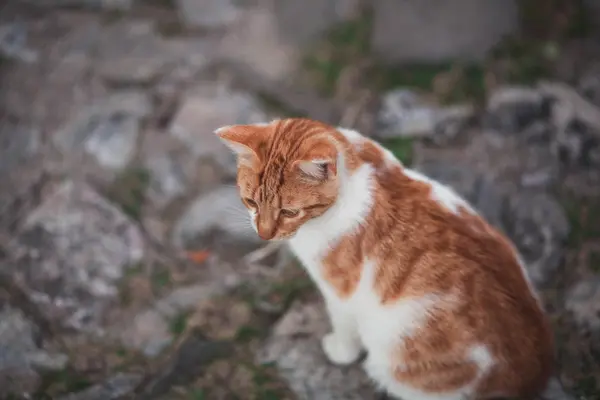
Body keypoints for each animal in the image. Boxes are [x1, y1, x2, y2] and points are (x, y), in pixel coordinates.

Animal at [217, 117, 564, 398]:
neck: (357, 166)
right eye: (250, 202)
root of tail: (535, 376)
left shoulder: (341, 293)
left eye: (289, 212)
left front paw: (338, 350)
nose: (264, 235)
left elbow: (344, 327)